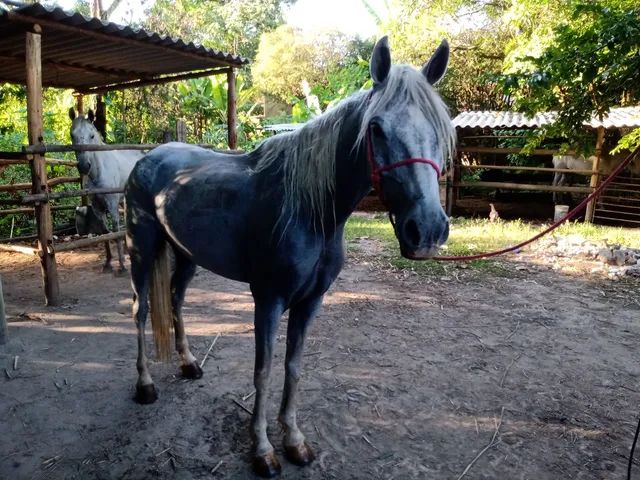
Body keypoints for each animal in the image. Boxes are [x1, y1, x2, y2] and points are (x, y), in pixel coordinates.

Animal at [69, 109, 144, 274]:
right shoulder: (97, 207)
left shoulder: (112, 205)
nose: (84, 166)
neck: (99, 172)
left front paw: (122, 266)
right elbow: (104, 233)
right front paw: (108, 263)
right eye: (72, 135)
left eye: (91, 135)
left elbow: (115, 231)